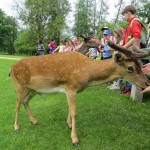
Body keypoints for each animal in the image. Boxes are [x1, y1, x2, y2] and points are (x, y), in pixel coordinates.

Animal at [10, 34, 150, 146]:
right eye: (130, 68)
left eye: (141, 64)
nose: (147, 83)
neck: (87, 73)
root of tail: (11, 69)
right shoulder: (71, 87)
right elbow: (74, 112)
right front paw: (74, 139)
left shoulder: (71, 90)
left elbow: (69, 109)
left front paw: (69, 125)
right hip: (20, 86)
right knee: (17, 103)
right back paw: (16, 127)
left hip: (33, 89)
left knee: (25, 101)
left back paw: (34, 121)